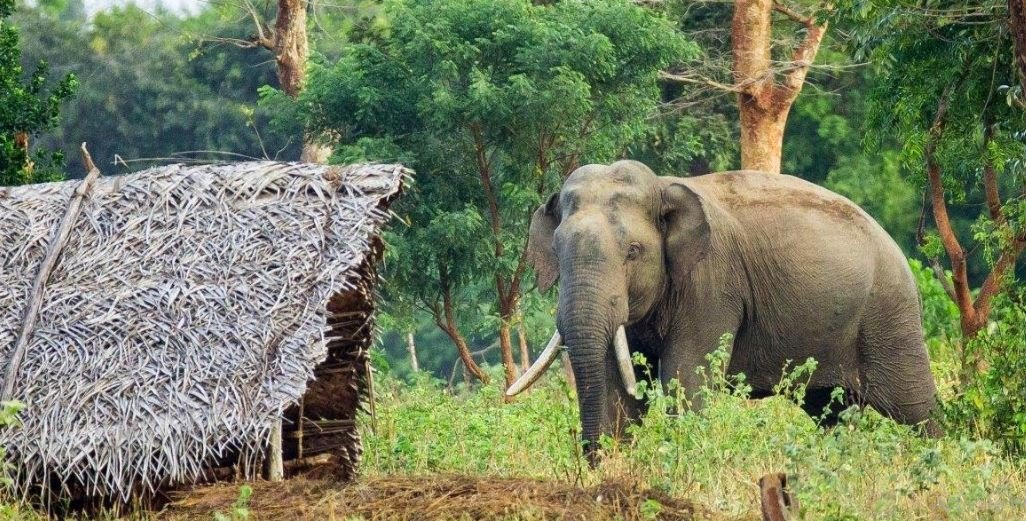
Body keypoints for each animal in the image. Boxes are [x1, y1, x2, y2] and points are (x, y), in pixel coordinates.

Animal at [504, 158, 939, 455]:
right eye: (558, 248)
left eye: (633, 251)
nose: (590, 461)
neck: (663, 186)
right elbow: (616, 387)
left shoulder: (712, 284)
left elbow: (685, 380)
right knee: (830, 413)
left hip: (889, 314)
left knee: (915, 408)